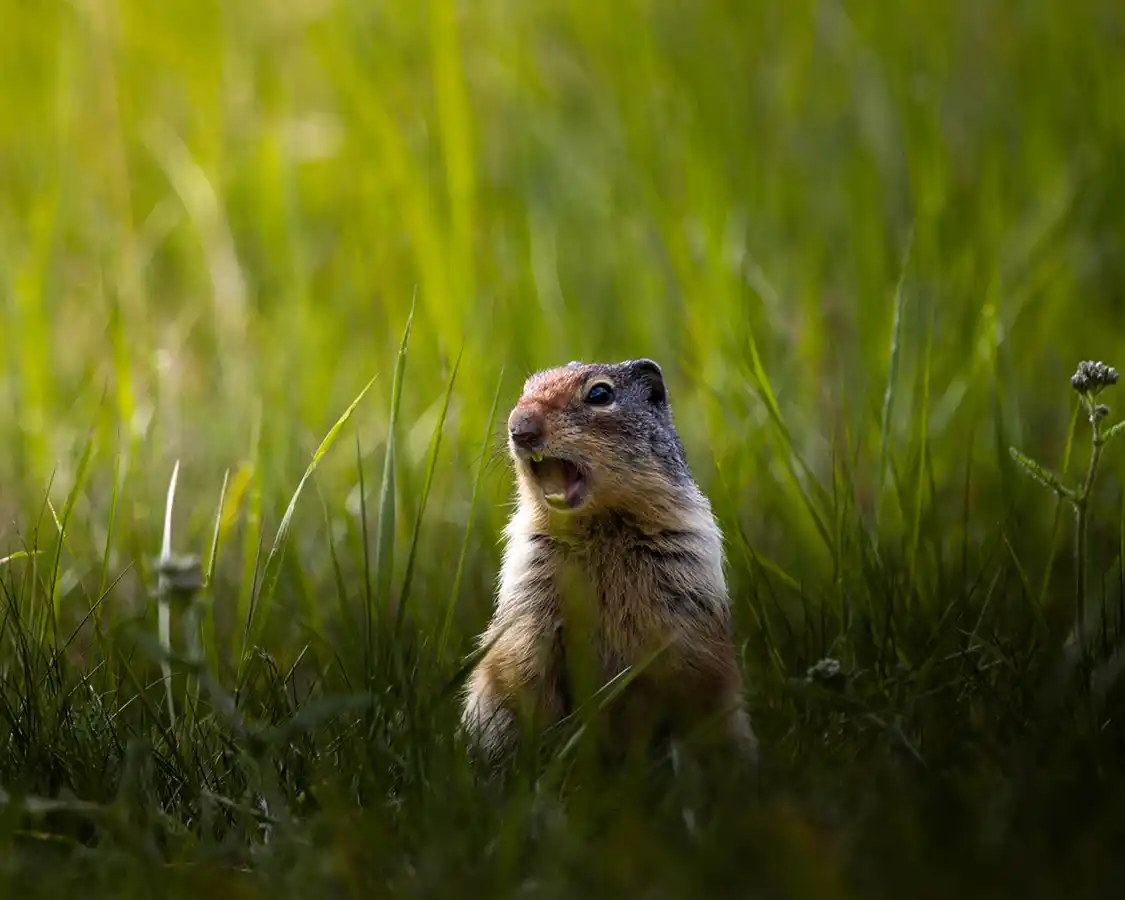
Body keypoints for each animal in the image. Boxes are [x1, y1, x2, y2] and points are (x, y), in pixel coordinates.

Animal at [460, 358, 757, 768]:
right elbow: (524, 663)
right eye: (525, 389)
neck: (600, 526)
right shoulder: (528, 591)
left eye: (600, 394)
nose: (520, 427)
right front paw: (548, 751)